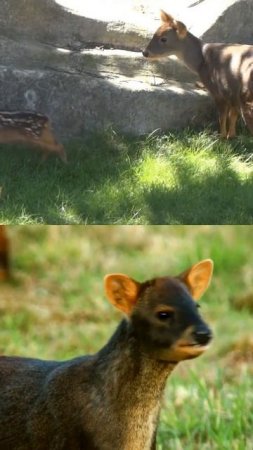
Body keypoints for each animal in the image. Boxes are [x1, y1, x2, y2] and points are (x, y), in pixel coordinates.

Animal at [143, 11, 253, 140]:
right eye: (154, 34)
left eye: (163, 39)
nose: (145, 52)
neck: (201, 62)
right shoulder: (232, 93)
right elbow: (233, 116)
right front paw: (231, 137)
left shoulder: (217, 89)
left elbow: (222, 117)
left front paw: (221, 138)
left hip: (246, 95)